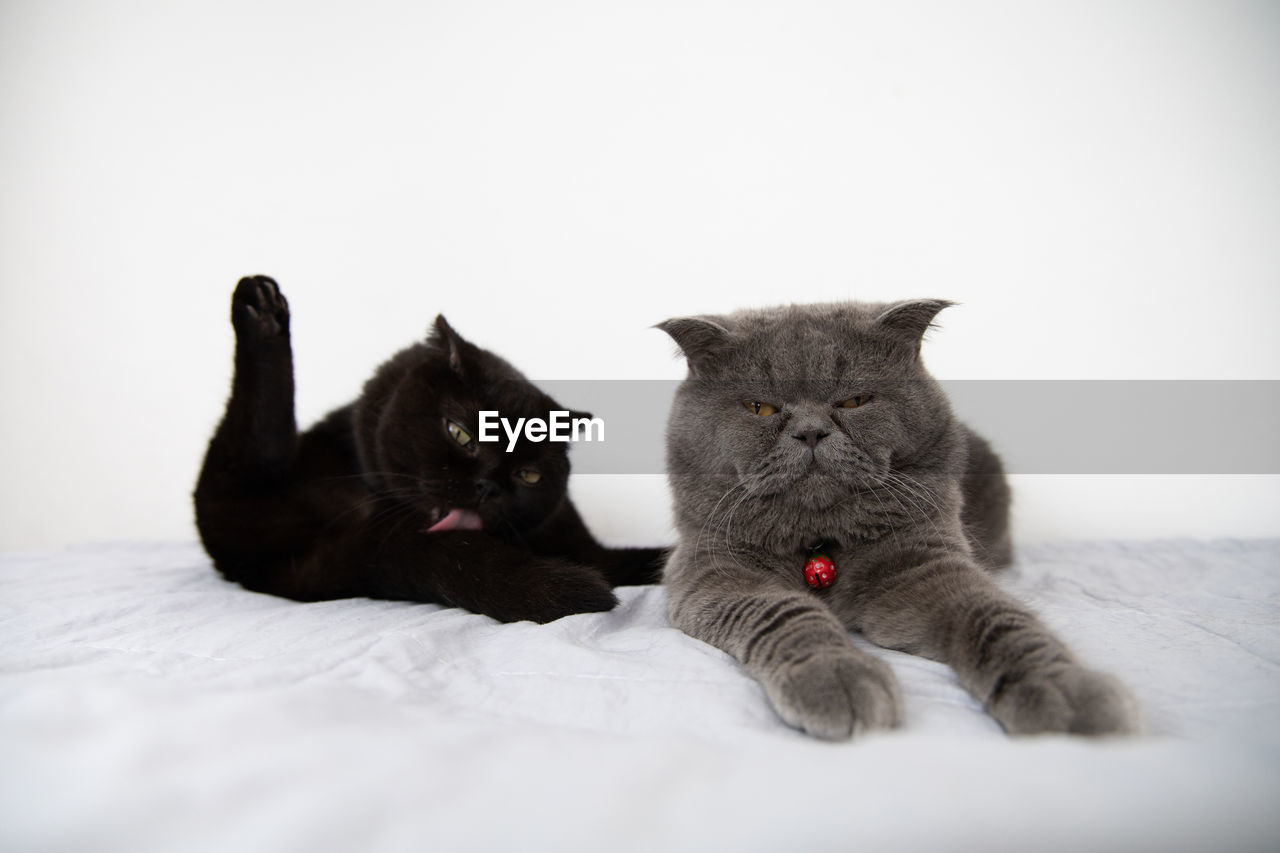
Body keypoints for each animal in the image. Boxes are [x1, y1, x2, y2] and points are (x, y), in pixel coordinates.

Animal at [194, 275, 665, 622]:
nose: (487, 486)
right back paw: (260, 307)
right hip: (238, 495)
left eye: (528, 474)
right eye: (459, 433)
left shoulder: (588, 550)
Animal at [660, 300, 1141, 737]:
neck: (820, 540)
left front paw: (1067, 691)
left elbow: (992, 616)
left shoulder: (921, 562)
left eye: (855, 400)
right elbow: (784, 611)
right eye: (760, 408)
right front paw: (835, 676)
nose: (811, 431)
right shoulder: (711, 568)